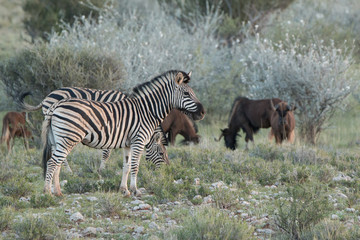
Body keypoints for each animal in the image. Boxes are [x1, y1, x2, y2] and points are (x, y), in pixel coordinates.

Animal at [20, 87, 169, 172]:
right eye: (161, 153)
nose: (164, 173)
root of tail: (48, 96)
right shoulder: (112, 127)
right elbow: (107, 152)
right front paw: (101, 170)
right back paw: (68, 171)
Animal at [40, 70, 204, 197]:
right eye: (186, 93)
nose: (202, 112)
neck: (148, 111)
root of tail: (56, 105)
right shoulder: (138, 141)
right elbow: (135, 166)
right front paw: (135, 190)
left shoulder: (128, 144)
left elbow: (126, 166)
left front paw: (124, 190)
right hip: (68, 138)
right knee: (53, 162)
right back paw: (48, 192)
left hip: (58, 139)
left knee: (58, 162)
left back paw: (58, 192)